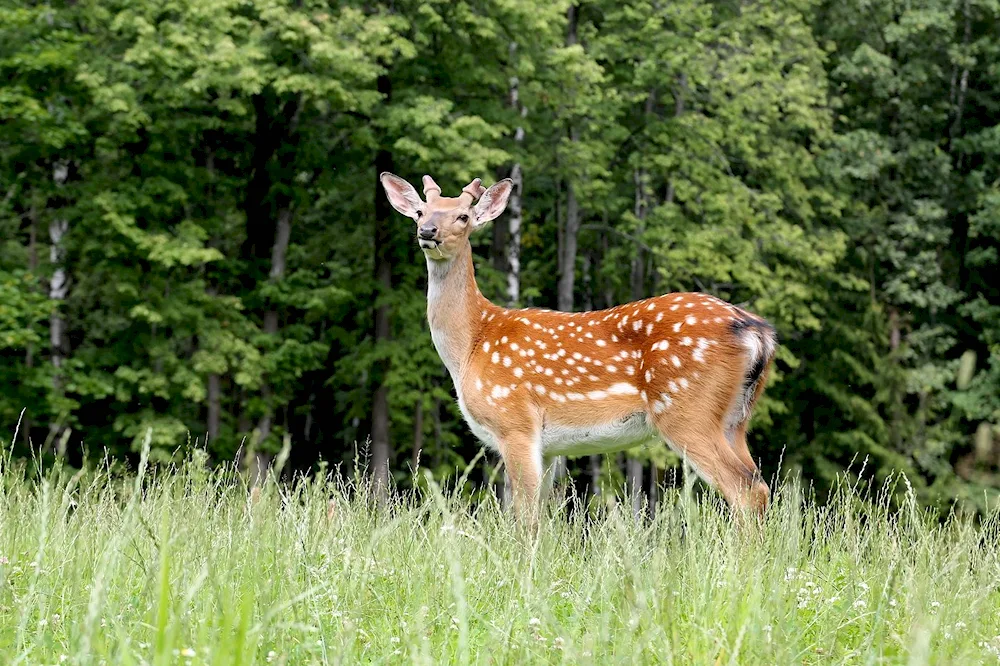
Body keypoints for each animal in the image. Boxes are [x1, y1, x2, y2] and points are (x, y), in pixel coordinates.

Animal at [378, 172, 776, 524]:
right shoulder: (550, 446)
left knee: (745, 489)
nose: (427, 232)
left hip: (686, 410)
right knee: (759, 483)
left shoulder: (515, 421)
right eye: (420, 211)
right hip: (736, 418)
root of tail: (757, 330)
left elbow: (525, 519)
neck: (471, 346)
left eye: (463, 215)